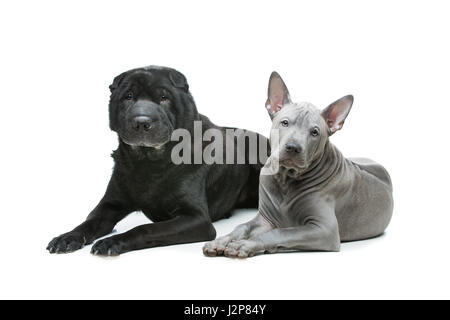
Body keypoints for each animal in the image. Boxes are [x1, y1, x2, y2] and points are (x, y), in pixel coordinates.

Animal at [47, 66, 268, 256]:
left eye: (164, 98)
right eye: (128, 96)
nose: (142, 121)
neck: (148, 163)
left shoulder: (196, 218)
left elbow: (146, 229)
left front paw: (111, 242)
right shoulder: (111, 204)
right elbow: (88, 222)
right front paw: (66, 238)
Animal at [202, 72, 392, 258]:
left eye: (314, 132)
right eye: (285, 122)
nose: (293, 147)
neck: (286, 179)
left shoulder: (325, 229)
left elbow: (279, 233)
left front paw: (245, 245)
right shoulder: (265, 218)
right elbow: (242, 226)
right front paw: (221, 241)